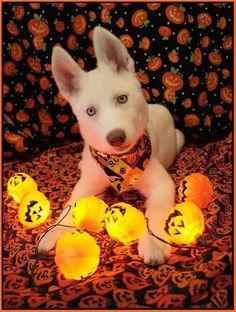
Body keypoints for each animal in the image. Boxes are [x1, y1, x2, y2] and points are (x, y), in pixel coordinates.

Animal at [37, 27, 184, 266]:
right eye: (90, 111)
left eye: (122, 99)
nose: (116, 137)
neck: (121, 164)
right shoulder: (87, 184)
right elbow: (70, 205)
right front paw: (54, 229)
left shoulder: (162, 184)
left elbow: (156, 211)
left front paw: (154, 242)